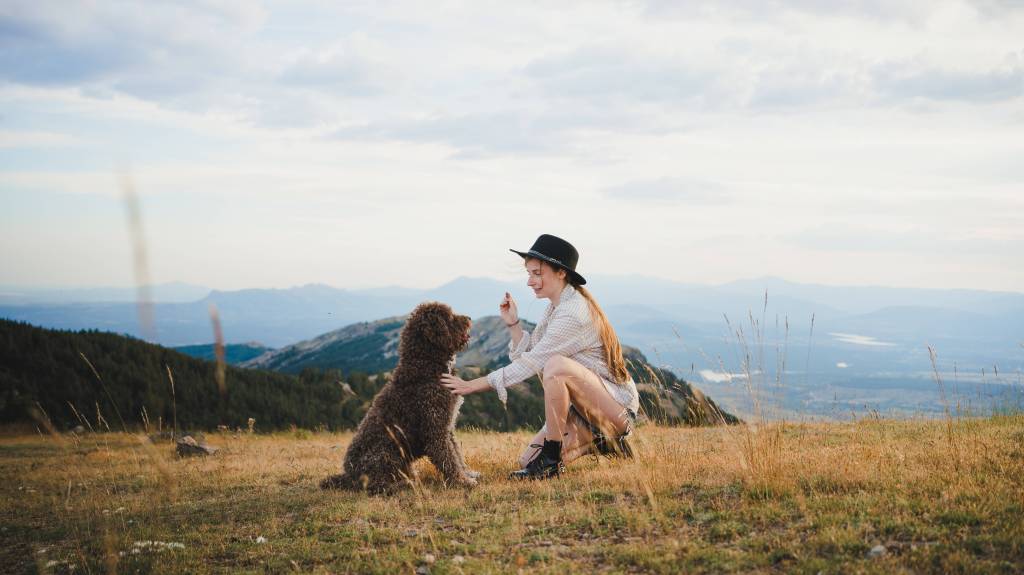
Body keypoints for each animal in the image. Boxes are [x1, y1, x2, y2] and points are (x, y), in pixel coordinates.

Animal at [319, 300, 479, 493]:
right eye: (449, 316)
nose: (469, 318)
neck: (424, 363)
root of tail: (349, 476)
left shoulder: (447, 427)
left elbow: (456, 454)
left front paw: (468, 474)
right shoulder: (435, 429)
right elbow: (448, 458)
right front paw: (462, 481)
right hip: (385, 451)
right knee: (376, 485)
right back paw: (403, 485)